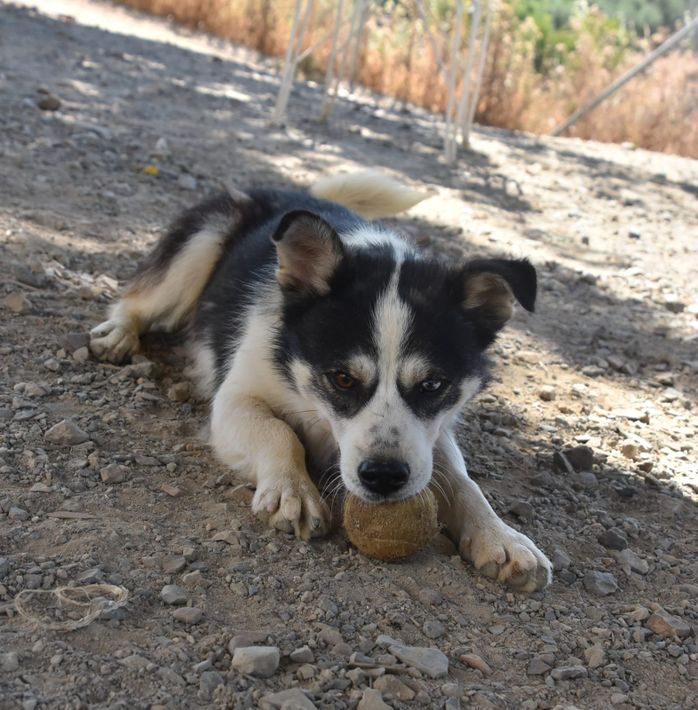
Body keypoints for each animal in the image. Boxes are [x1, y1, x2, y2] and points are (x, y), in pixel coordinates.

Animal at [90, 171, 552, 592]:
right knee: (140, 298)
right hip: (199, 245)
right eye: (343, 378)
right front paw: (292, 490)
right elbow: (277, 432)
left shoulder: (433, 433)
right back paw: (119, 332)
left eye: (433, 385)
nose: (384, 477)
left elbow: (461, 480)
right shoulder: (235, 399)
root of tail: (294, 194)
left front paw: (502, 537)